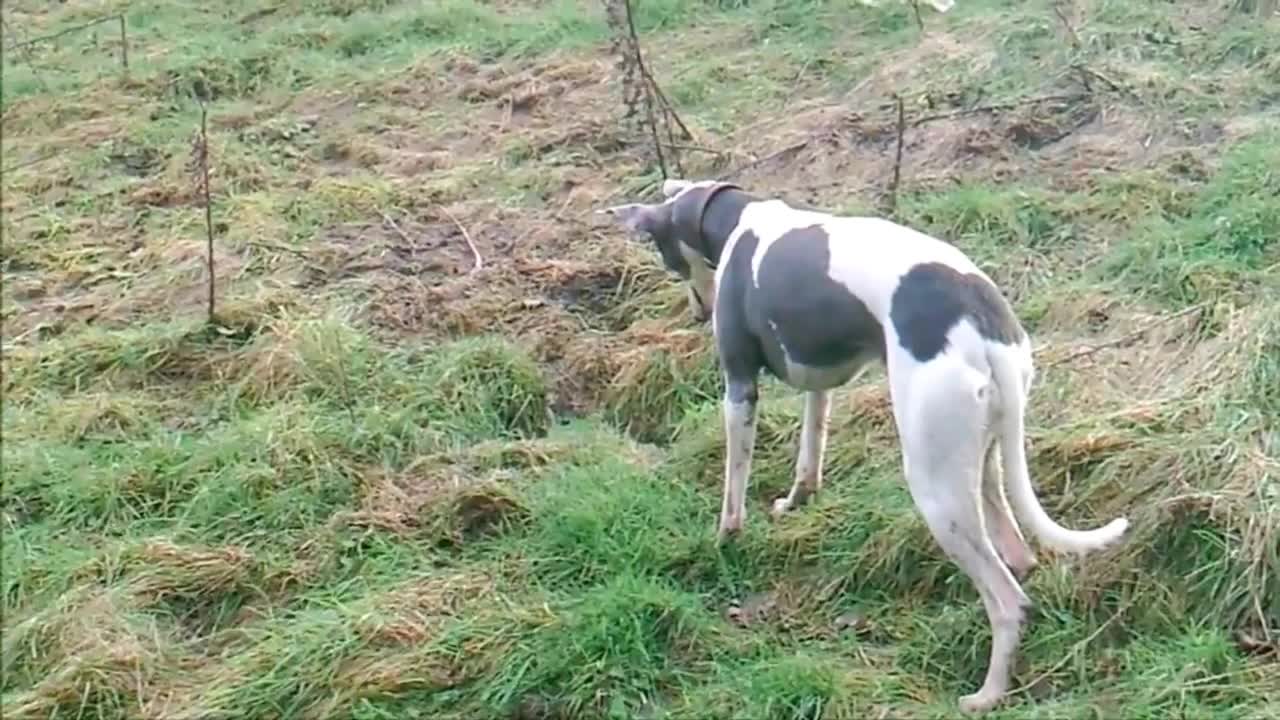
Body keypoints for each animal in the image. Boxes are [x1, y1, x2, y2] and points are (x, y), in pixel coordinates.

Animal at [599, 179, 1131, 712]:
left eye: (665, 254)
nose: (695, 311)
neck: (737, 221)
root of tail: (980, 322)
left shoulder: (740, 388)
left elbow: (735, 481)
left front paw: (725, 538)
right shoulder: (819, 383)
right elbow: (810, 451)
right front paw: (797, 500)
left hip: (936, 488)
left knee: (1008, 600)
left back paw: (987, 694)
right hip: (981, 456)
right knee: (1017, 554)